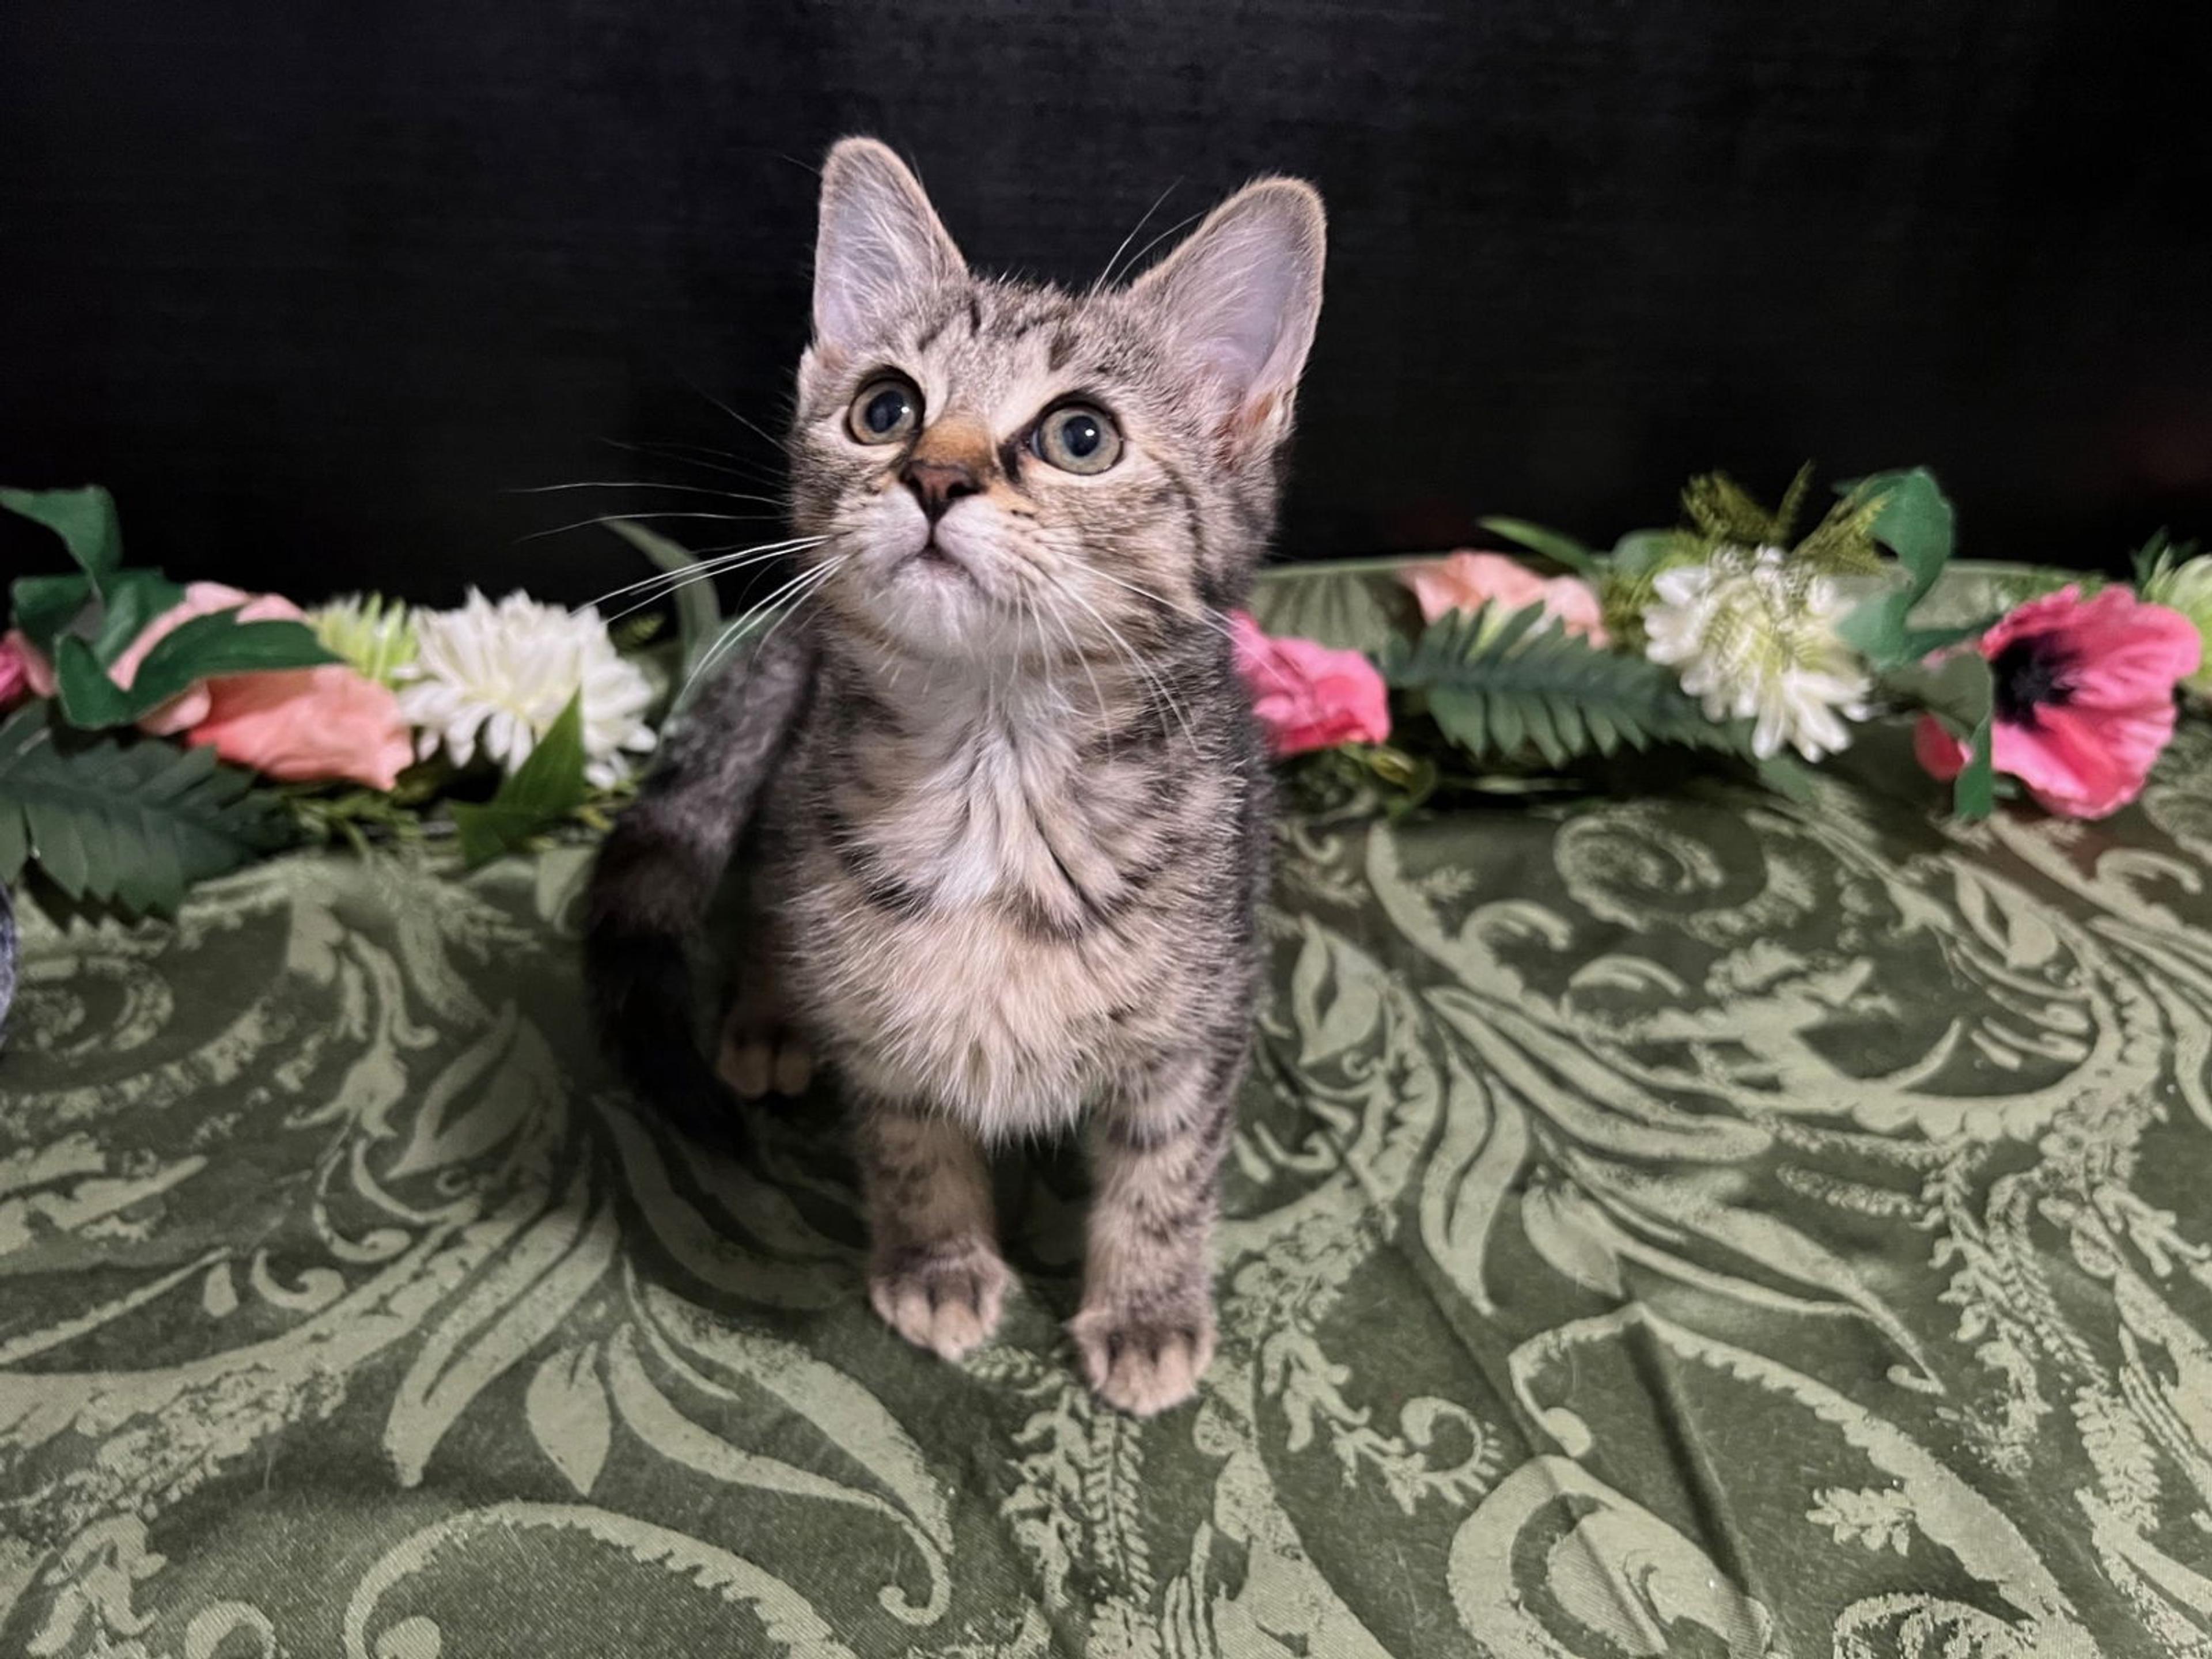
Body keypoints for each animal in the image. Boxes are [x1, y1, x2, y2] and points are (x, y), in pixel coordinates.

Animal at [585, 138, 1324, 1416]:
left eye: (1082, 437)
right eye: (886, 408)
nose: (933, 476)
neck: (995, 781)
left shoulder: (1203, 1020)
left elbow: (1168, 1171)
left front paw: (1147, 1308)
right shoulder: (882, 1025)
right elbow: (910, 1141)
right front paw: (937, 1261)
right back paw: (769, 1014)